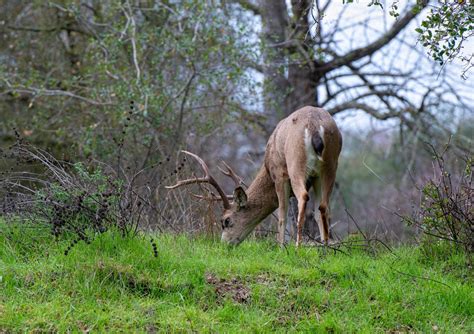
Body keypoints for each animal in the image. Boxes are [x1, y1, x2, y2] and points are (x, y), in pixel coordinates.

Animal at [167, 105, 340, 247]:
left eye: (226, 221)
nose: (224, 245)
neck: (267, 168)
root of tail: (314, 127)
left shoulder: (279, 173)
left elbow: (282, 213)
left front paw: (281, 247)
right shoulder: (314, 178)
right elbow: (314, 213)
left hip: (295, 163)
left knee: (303, 197)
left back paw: (298, 247)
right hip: (330, 166)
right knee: (323, 206)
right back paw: (326, 249)